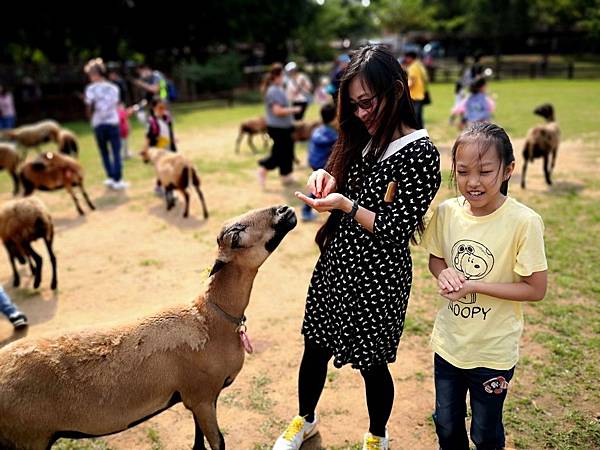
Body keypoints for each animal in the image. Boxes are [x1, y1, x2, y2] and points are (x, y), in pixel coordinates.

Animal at [0, 205, 298, 450]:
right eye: (236, 236)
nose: (284, 210)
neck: (210, 318)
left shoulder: (195, 398)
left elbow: (198, 441)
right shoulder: (201, 395)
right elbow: (218, 443)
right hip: (27, 437)